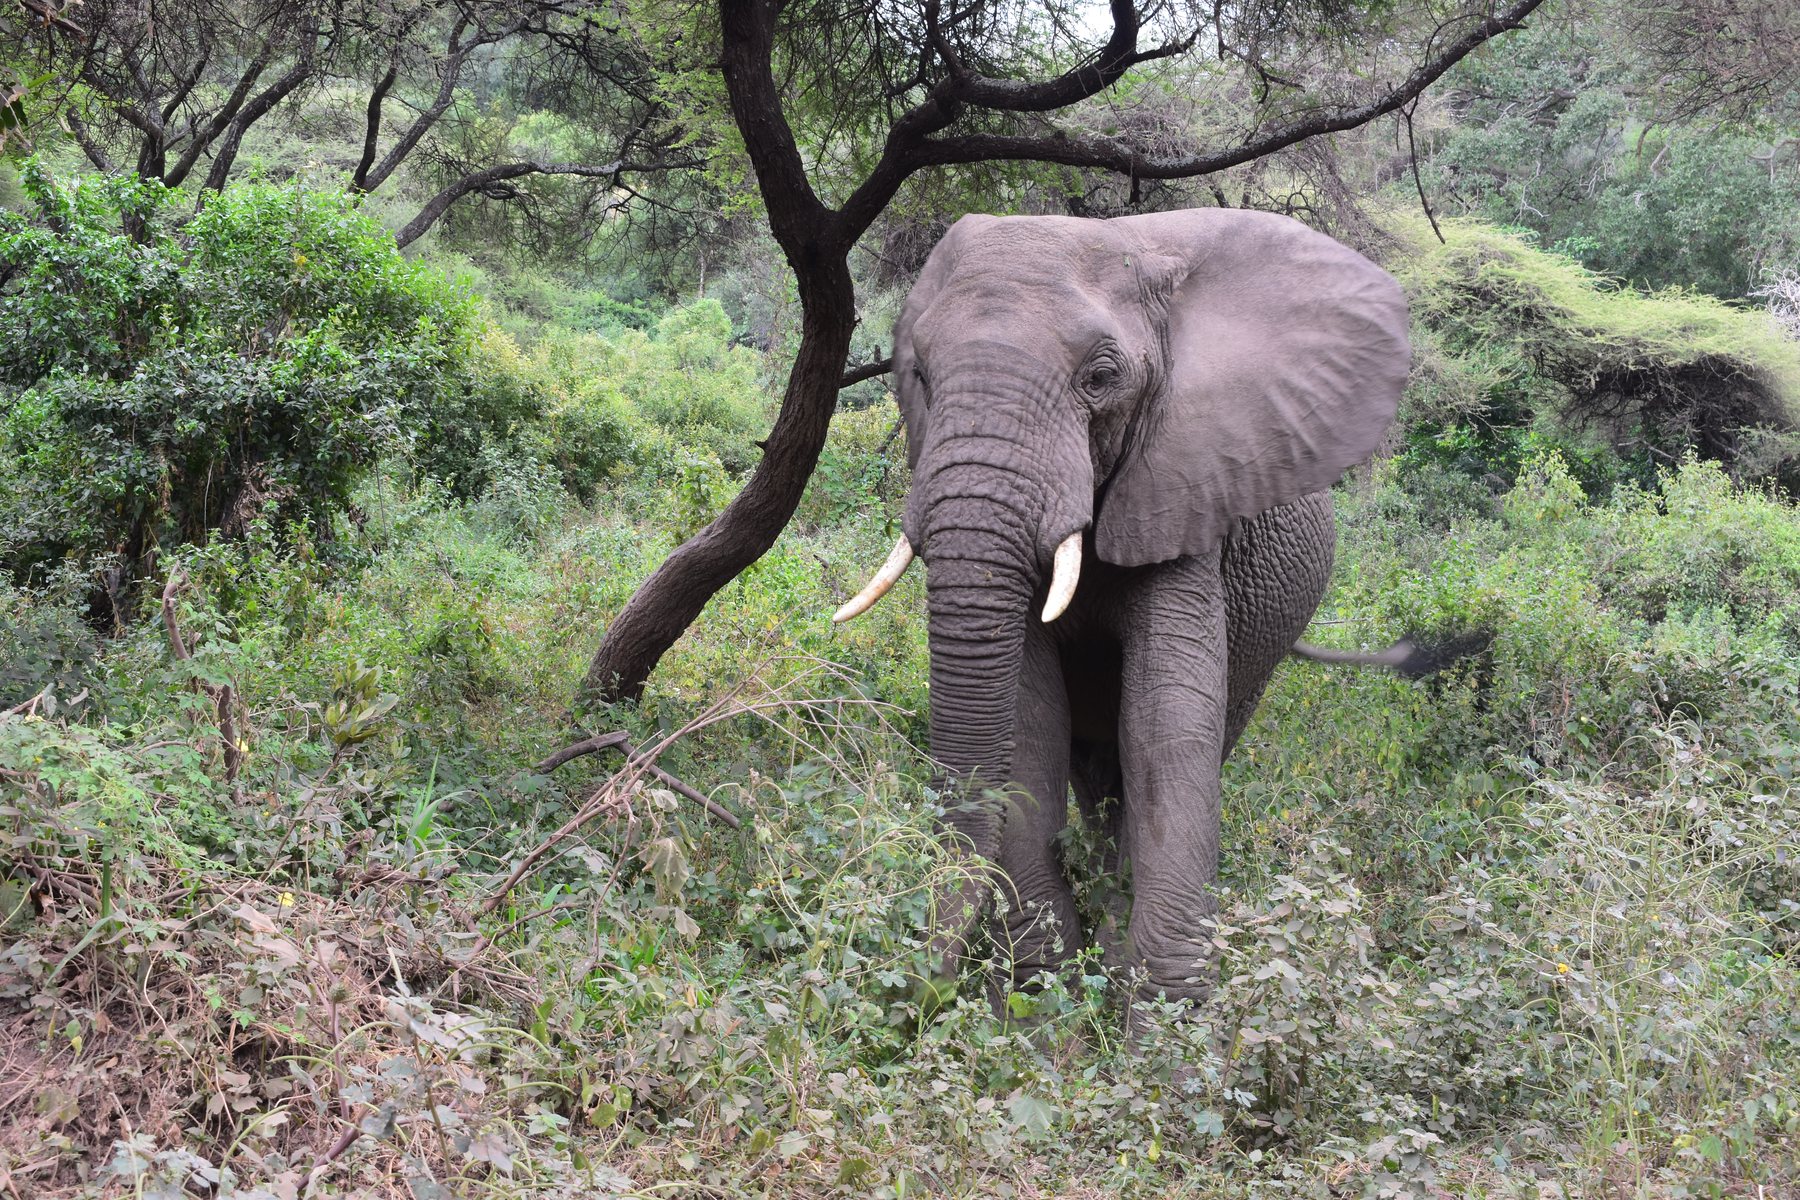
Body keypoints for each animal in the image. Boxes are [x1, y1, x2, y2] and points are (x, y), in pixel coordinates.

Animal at [831, 208, 1412, 1015]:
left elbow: (1168, 727)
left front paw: (1166, 1025)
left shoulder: (1189, 493)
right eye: (917, 374)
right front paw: (1046, 997)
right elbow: (1031, 724)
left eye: (1101, 380)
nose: (929, 985)